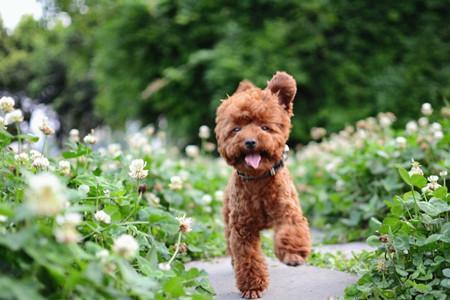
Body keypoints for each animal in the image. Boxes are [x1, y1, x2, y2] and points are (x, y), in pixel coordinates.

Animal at [214, 71, 310, 298]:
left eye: (265, 127)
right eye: (236, 129)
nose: (249, 142)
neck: (258, 179)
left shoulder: (288, 213)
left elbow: (292, 231)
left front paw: (293, 254)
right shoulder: (242, 229)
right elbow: (247, 256)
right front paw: (253, 286)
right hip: (228, 219)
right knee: (231, 246)